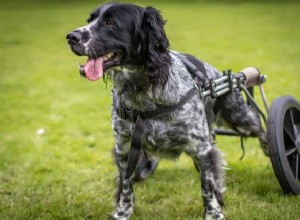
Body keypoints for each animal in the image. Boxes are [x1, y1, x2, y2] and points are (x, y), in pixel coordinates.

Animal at [66, 2, 268, 220]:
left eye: (110, 23)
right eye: (90, 20)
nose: (70, 37)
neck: (143, 92)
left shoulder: (201, 148)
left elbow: (208, 186)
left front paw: (213, 213)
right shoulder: (125, 148)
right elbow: (126, 185)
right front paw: (123, 212)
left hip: (239, 117)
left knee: (260, 128)